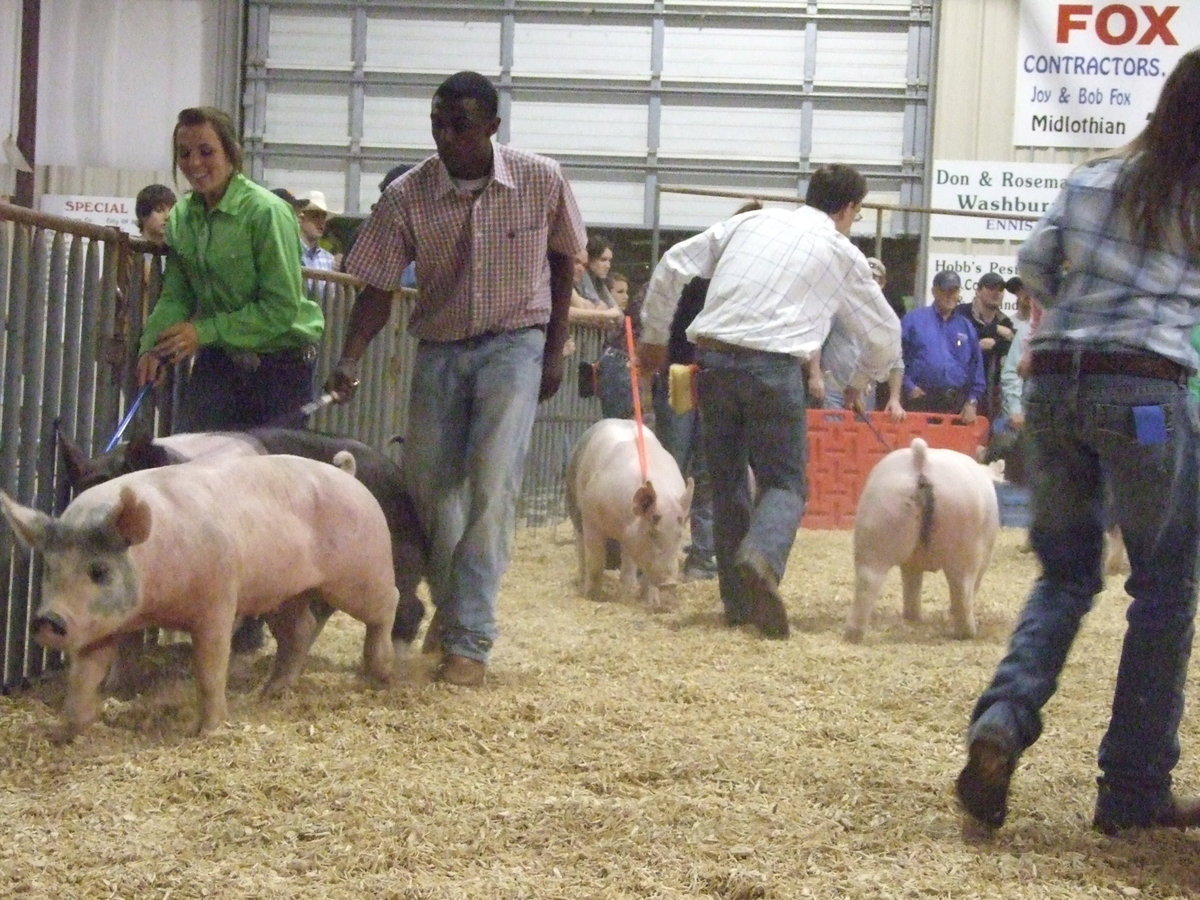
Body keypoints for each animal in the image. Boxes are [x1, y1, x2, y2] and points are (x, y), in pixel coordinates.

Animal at [0, 453, 403, 744]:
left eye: (99, 571)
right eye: (49, 568)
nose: (48, 619)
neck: (153, 600)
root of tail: (349, 474)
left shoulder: (217, 601)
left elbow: (210, 668)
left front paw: (207, 731)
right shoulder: (100, 623)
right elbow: (85, 674)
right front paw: (65, 733)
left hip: (361, 571)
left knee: (388, 604)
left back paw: (382, 675)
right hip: (285, 594)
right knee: (299, 630)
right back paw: (269, 693)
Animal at [564, 422, 696, 607]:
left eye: (679, 535)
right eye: (652, 533)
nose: (669, 583)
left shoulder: (635, 541)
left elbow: (635, 572)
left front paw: (651, 602)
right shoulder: (591, 516)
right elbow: (596, 562)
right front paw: (592, 597)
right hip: (573, 497)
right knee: (580, 546)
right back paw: (581, 581)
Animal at [844, 441, 1003, 643]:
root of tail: (921, 459)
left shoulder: (911, 563)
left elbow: (912, 584)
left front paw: (913, 617)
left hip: (877, 520)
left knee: (868, 580)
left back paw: (854, 634)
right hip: (964, 543)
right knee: (962, 589)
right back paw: (965, 633)